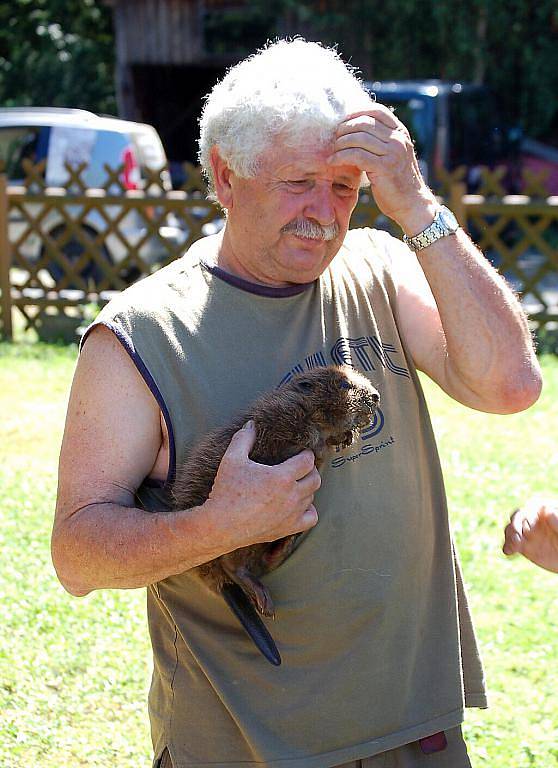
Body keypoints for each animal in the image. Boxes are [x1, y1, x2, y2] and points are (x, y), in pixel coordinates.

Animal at [172, 366, 380, 664]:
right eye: (343, 384)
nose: (375, 396)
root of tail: (216, 582)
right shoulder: (278, 413)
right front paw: (325, 438)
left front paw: (345, 436)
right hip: (236, 542)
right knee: (234, 565)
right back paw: (264, 601)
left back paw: (285, 545)